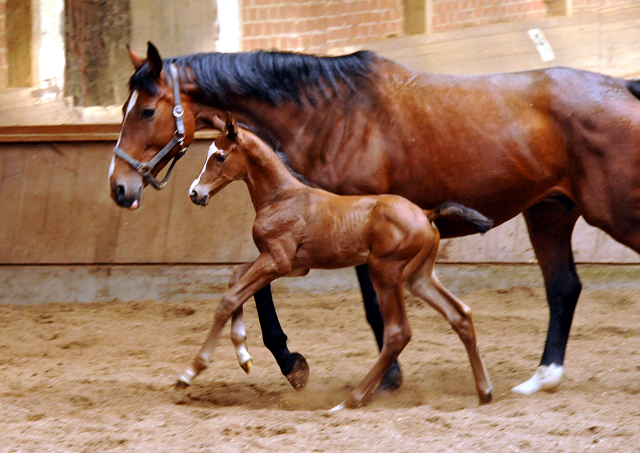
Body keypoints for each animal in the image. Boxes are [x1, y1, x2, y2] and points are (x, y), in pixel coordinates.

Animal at [181, 115, 496, 408]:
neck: (282, 197)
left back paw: (351, 400)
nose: (195, 193)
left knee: (398, 333)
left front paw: (191, 371)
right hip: (419, 277)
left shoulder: (277, 261)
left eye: (220, 156)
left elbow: (229, 299)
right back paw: (484, 392)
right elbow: (235, 277)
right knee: (460, 314)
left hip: (385, 272)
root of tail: (426, 213)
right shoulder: (293, 265)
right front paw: (244, 356)